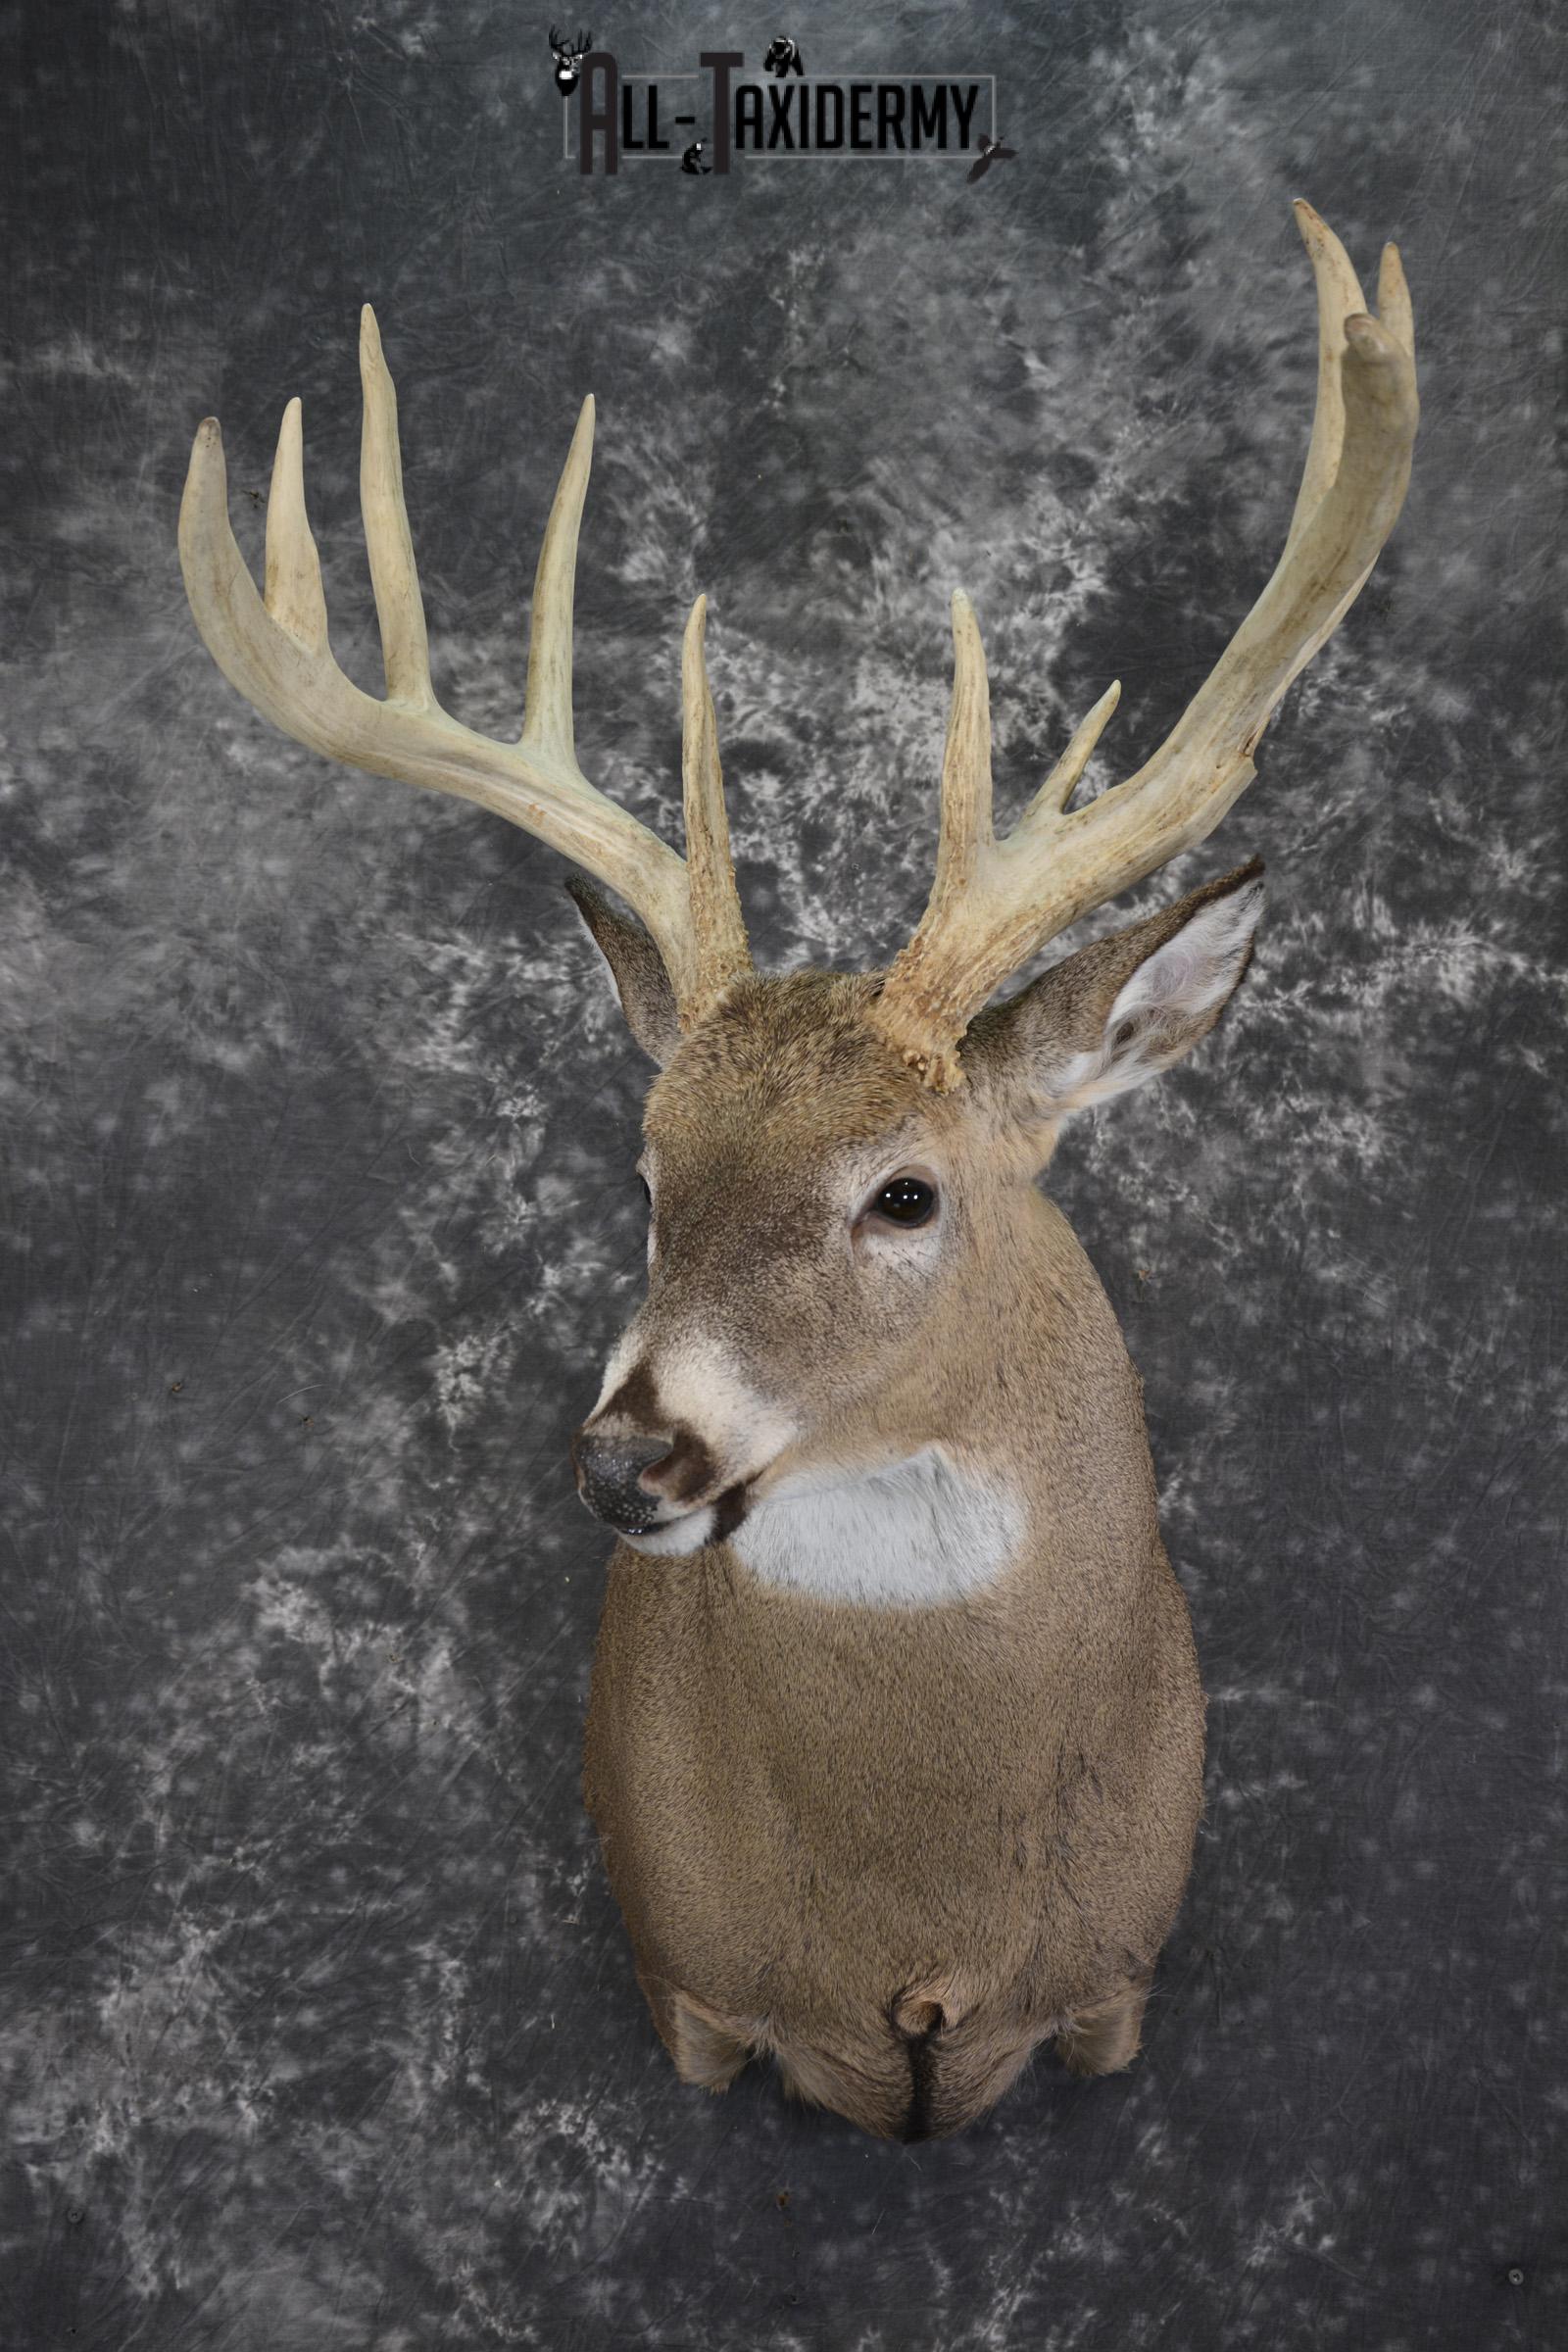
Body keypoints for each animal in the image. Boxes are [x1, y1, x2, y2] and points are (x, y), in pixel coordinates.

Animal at [178, 203, 1417, 2141]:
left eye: (905, 1192)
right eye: (643, 1177)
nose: (629, 1458)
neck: (916, 1916)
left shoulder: (1117, 1980)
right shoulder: (685, 1984)